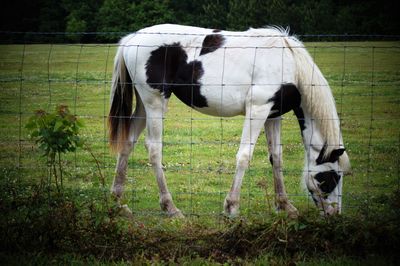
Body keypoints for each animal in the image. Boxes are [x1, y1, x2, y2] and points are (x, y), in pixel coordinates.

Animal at [108, 23, 350, 218]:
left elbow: (277, 157)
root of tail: (132, 38)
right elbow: (244, 156)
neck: (288, 62)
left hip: (143, 105)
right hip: (155, 103)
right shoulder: (258, 109)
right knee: (154, 149)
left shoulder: (273, 114)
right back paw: (170, 207)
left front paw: (285, 206)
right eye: (331, 178)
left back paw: (118, 202)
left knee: (127, 143)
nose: (335, 214)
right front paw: (232, 206)